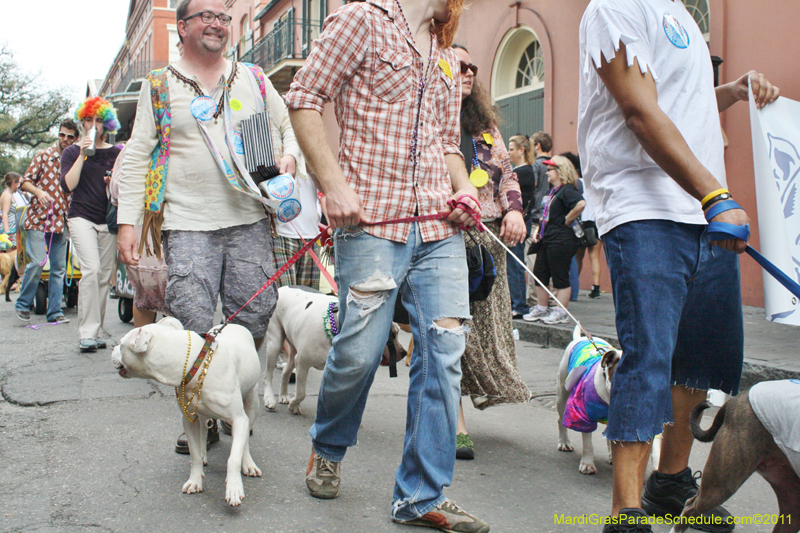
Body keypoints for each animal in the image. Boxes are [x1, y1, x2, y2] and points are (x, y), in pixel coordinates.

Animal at [112, 316, 260, 508]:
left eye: (121, 344)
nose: (112, 348)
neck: (194, 365)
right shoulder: (188, 420)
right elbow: (194, 453)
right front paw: (195, 480)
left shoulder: (238, 419)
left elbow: (233, 458)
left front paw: (234, 489)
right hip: (202, 413)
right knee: (204, 430)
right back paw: (204, 454)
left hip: (252, 403)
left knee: (245, 439)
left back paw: (248, 463)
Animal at [556, 324, 624, 474]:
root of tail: (580, 338)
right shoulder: (583, 415)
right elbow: (588, 444)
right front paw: (587, 464)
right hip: (562, 393)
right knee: (560, 418)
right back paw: (564, 442)